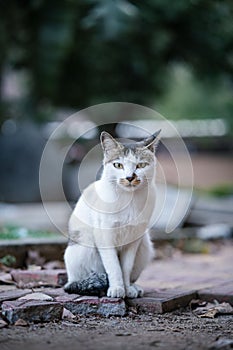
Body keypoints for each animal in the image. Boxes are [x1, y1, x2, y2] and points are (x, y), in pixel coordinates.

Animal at [64, 130, 161, 300]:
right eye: (118, 165)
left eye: (141, 165)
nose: (130, 177)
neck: (129, 200)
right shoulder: (105, 236)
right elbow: (114, 266)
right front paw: (116, 289)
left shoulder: (134, 239)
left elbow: (125, 268)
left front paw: (127, 289)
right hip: (84, 247)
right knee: (77, 282)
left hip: (145, 246)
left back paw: (135, 287)